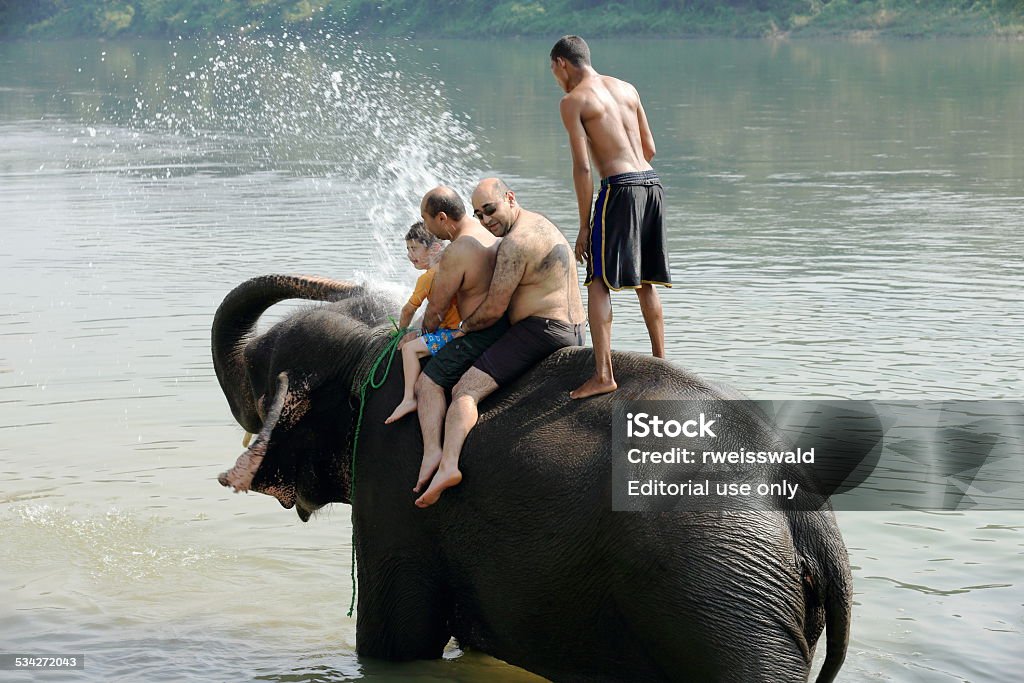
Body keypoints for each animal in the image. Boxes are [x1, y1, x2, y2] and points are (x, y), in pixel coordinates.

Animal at [211, 274, 851, 683]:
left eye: (260, 369)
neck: (374, 349)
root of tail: (810, 516)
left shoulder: (396, 482)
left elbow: (396, 644)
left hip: (724, 601)